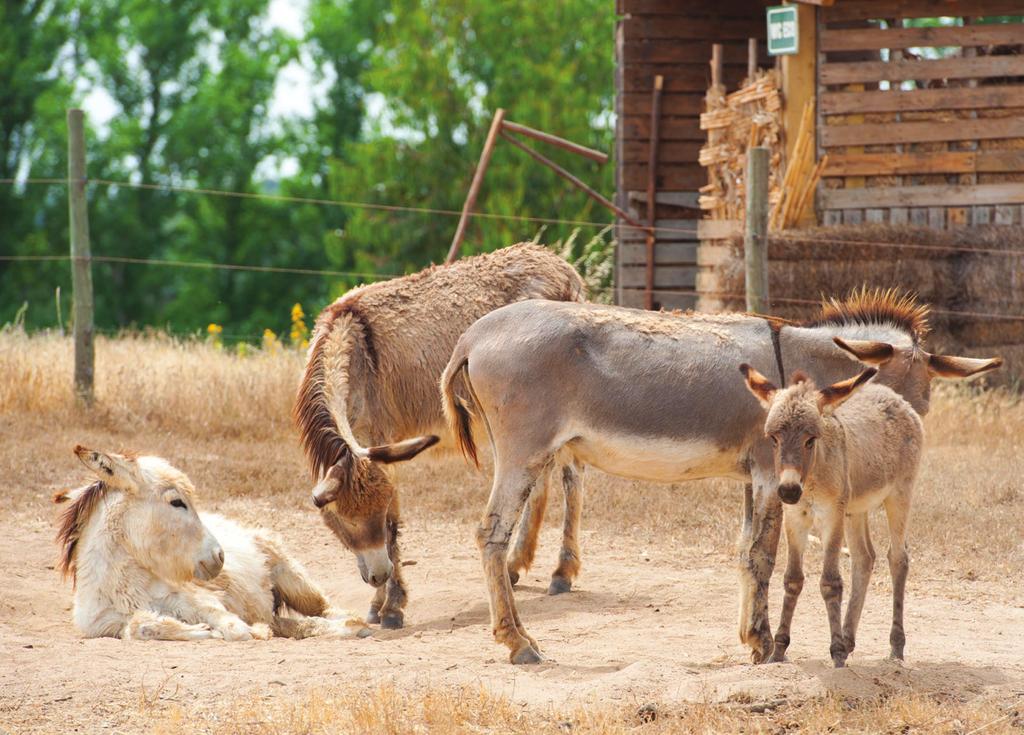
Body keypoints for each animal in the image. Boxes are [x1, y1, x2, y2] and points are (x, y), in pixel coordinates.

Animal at [741, 366, 925, 667]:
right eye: (774, 439)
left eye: (810, 440)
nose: (789, 490)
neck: (812, 477)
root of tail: (894, 396)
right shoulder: (796, 518)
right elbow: (792, 579)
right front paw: (779, 651)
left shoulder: (831, 516)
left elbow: (830, 582)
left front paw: (836, 654)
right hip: (855, 509)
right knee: (864, 557)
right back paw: (849, 640)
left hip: (900, 495)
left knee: (898, 559)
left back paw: (895, 648)